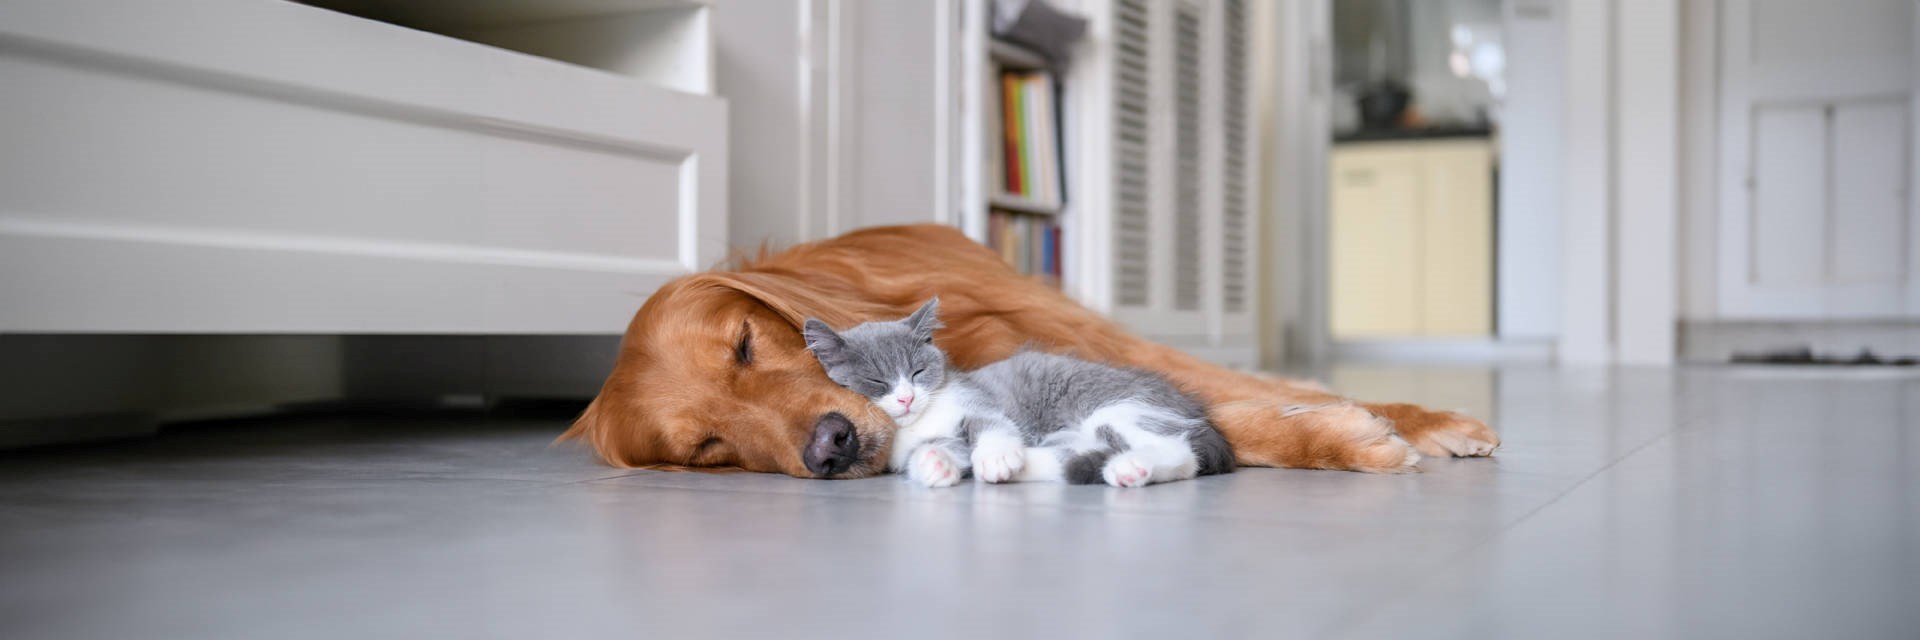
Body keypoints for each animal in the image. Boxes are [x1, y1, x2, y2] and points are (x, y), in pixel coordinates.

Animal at [802, 295, 1236, 486]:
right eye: (877, 382)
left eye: (917, 371)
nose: (906, 398)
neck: (921, 422)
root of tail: (1196, 410)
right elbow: (941, 450)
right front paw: (936, 464)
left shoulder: (979, 402)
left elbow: (992, 426)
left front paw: (995, 456)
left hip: (1117, 408)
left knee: (1180, 453)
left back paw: (1128, 468)